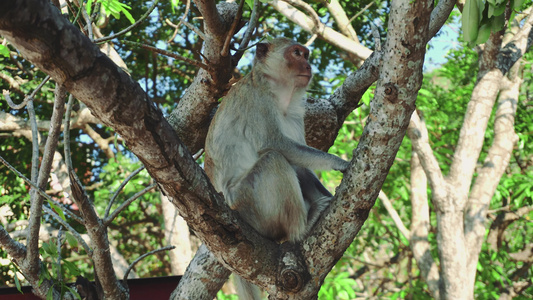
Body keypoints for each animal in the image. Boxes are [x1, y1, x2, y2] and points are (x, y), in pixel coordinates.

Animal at [204, 37, 350, 298]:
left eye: (305, 54)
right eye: (296, 53)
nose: (308, 65)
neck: (277, 91)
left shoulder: (293, 114)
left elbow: (300, 161)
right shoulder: (258, 101)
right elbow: (274, 144)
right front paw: (339, 162)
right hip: (249, 205)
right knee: (273, 159)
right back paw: (302, 228)